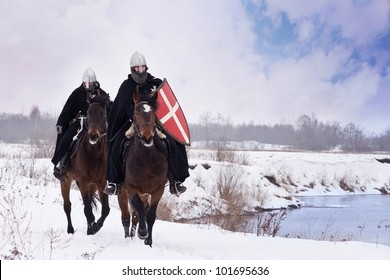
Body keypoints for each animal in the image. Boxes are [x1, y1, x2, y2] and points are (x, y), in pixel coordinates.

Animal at [60, 93, 110, 234]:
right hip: (66, 180)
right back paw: (70, 229)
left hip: (91, 186)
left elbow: (105, 210)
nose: (93, 135)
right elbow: (87, 209)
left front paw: (95, 226)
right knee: (67, 206)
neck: (94, 154)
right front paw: (93, 227)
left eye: (103, 113)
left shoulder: (101, 182)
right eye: (88, 112)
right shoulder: (83, 181)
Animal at [118, 86, 168, 246]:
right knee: (126, 217)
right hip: (123, 191)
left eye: (154, 114)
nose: (147, 137)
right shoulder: (132, 188)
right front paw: (142, 232)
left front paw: (149, 241)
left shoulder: (158, 190)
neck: (146, 159)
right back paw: (128, 237)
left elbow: (150, 215)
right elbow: (139, 209)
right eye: (135, 113)